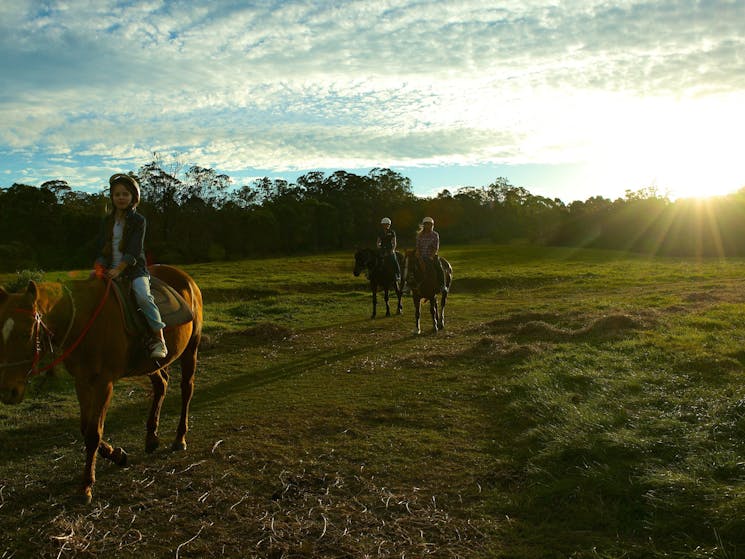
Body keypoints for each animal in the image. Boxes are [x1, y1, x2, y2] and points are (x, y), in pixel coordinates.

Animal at [0, 264, 202, 506]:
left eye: (25, 333)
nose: (8, 392)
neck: (83, 322)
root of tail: (186, 278)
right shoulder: (82, 381)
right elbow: (85, 427)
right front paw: (117, 455)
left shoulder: (104, 384)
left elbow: (93, 433)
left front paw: (86, 486)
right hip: (151, 364)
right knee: (161, 385)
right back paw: (152, 438)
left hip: (191, 349)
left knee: (186, 389)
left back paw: (180, 438)